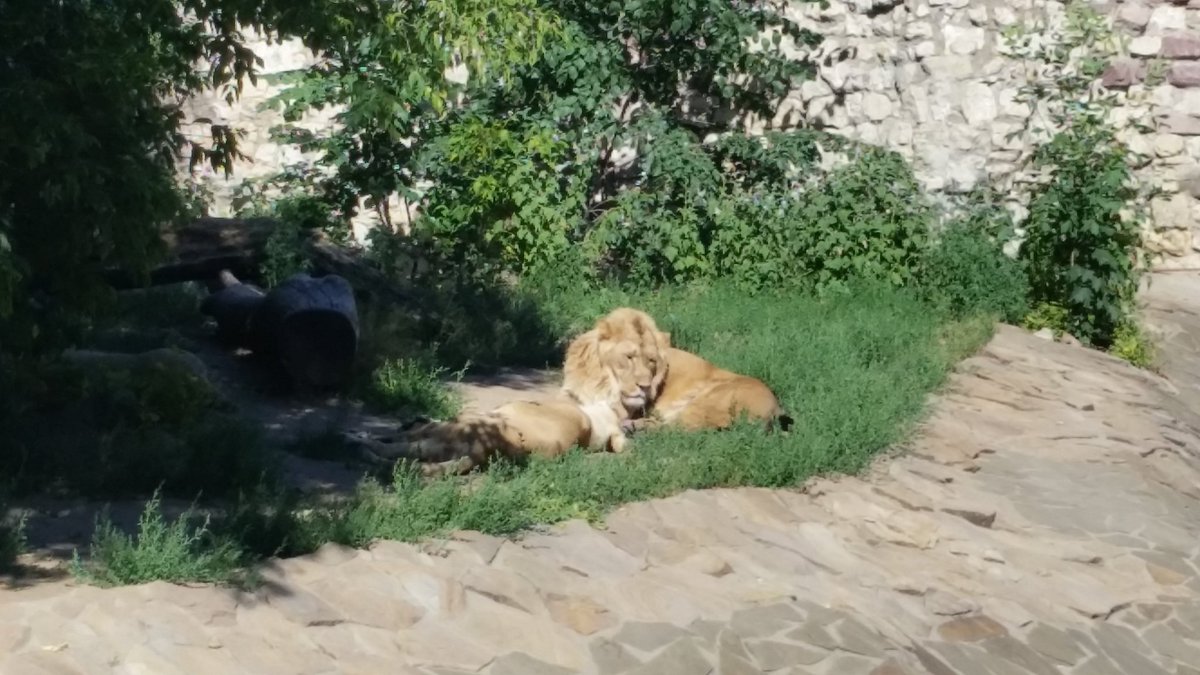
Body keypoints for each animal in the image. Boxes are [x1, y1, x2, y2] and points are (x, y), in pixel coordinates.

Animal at [564, 305, 792, 429]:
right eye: (629, 357)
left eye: (651, 361)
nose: (645, 387)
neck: (603, 380)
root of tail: (776, 404)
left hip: (707, 402)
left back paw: (633, 428)